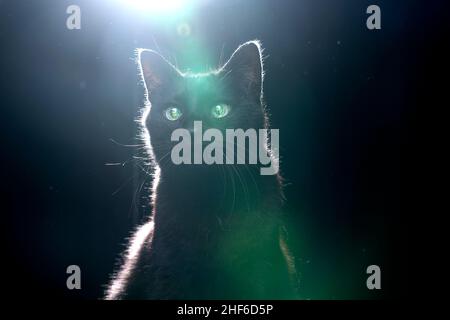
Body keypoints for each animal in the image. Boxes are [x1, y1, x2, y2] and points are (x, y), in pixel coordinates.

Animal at [105, 40, 298, 300]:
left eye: (219, 110)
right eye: (173, 113)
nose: (192, 131)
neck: (209, 197)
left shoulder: (259, 269)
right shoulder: (169, 272)